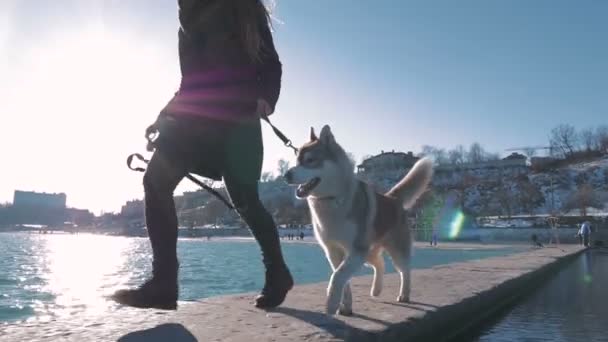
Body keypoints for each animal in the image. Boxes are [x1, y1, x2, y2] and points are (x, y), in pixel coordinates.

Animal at [284, 125, 432, 316]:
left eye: (309, 160)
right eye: (296, 160)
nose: (286, 175)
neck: (331, 199)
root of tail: (392, 198)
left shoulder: (356, 250)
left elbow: (338, 276)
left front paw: (331, 303)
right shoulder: (334, 251)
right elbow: (342, 279)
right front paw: (345, 306)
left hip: (394, 250)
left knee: (405, 271)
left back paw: (404, 294)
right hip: (368, 252)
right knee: (380, 264)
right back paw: (376, 290)